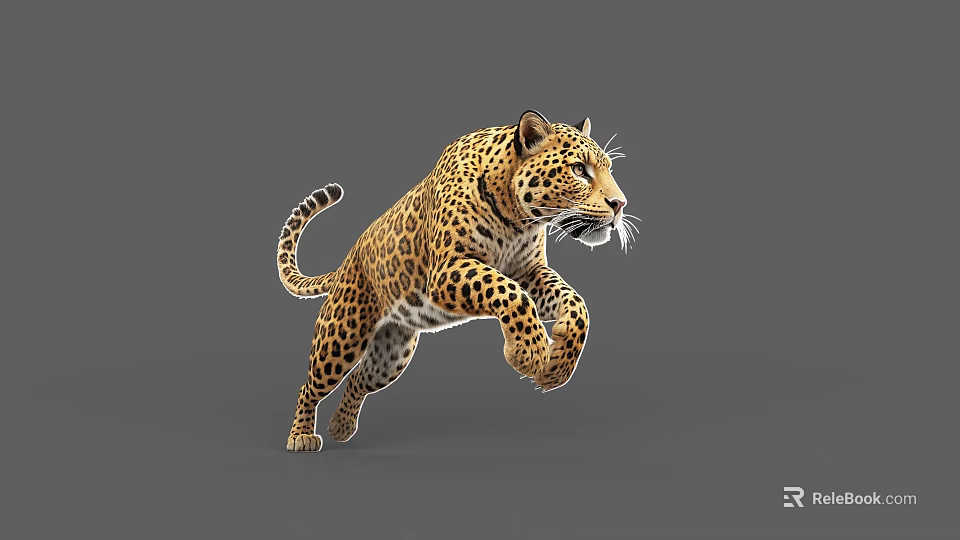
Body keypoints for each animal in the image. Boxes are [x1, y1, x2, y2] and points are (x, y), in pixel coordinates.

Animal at [276, 110, 635, 451]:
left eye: (608, 168)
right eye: (579, 170)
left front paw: (558, 366)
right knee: (309, 385)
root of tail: (346, 262)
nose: (620, 204)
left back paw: (341, 427)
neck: (518, 219)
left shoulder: (530, 272)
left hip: (391, 354)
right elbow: (510, 293)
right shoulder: (448, 268)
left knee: (358, 380)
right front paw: (529, 353)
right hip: (340, 337)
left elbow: (575, 301)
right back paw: (301, 436)